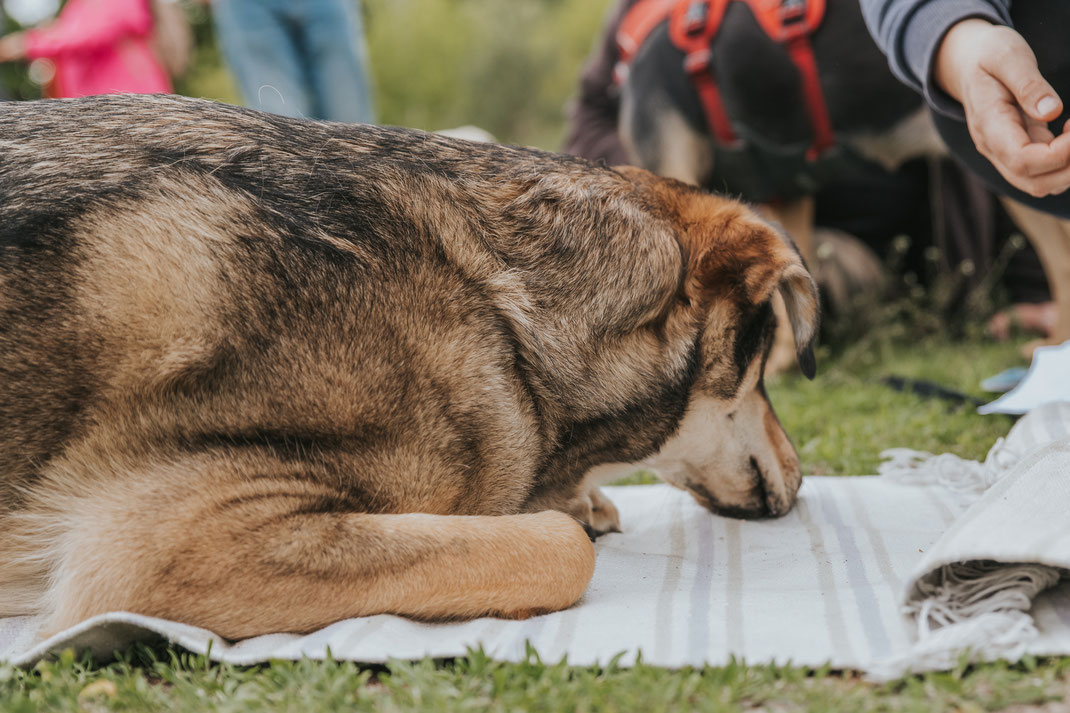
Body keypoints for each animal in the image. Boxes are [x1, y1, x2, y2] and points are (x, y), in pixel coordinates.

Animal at [0, 93, 817, 638]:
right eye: (761, 365)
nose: (804, 479)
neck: (506, 305)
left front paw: (584, 499)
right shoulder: (167, 542)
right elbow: (556, 549)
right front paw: (567, 515)